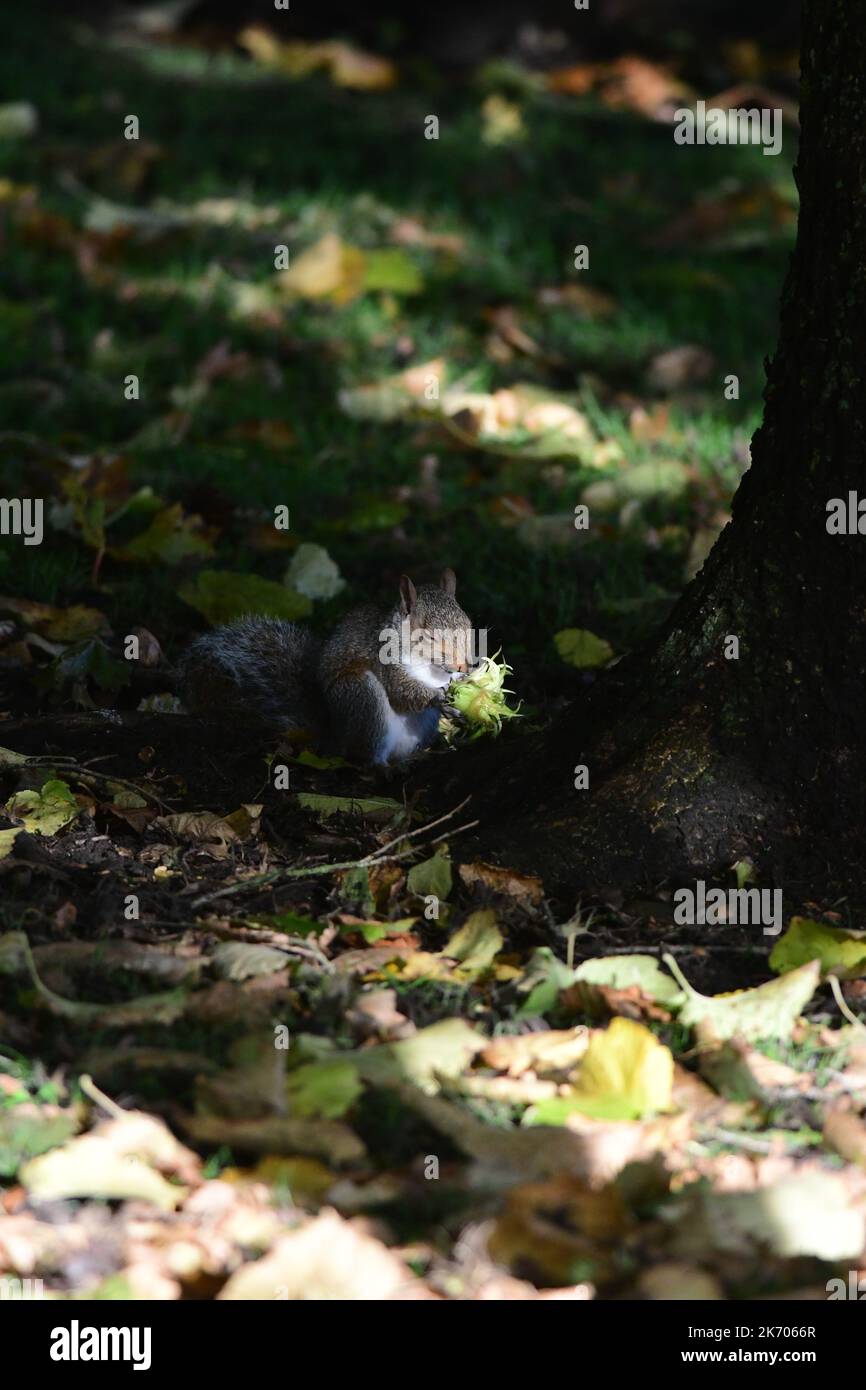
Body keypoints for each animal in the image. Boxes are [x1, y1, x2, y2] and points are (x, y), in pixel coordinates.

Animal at [178, 570, 478, 766]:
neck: (432, 670)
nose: (463, 664)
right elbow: (401, 692)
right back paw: (382, 768)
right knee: (363, 758)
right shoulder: (385, 661)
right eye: (430, 637)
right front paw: (438, 698)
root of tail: (335, 735)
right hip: (361, 696)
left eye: (469, 625)